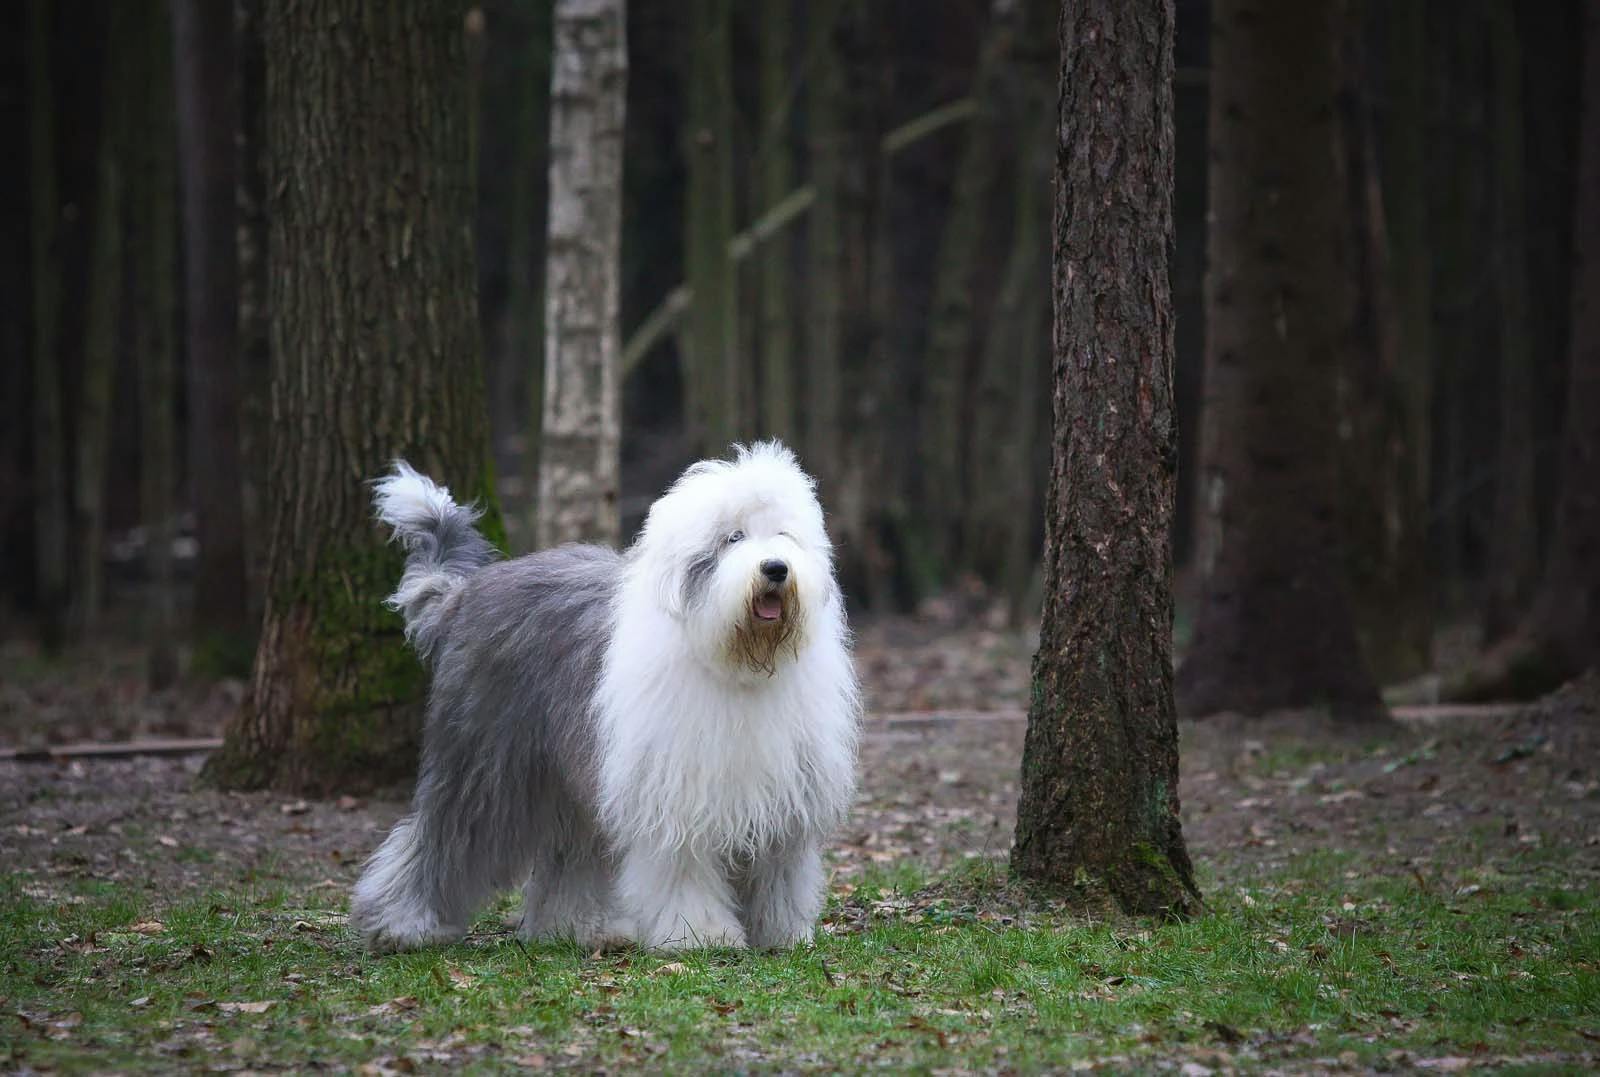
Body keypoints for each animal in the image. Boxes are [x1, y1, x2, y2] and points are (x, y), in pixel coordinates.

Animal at [352, 438, 864, 947]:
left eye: (783, 535)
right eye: (733, 538)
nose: (775, 568)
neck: (734, 661)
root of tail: (466, 591)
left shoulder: (782, 796)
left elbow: (779, 871)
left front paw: (783, 934)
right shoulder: (676, 796)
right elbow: (684, 870)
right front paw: (701, 935)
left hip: (572, 776)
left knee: (570, 855)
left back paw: (577, 928)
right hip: (486, 761)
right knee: (441, 836)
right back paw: (406, 924)